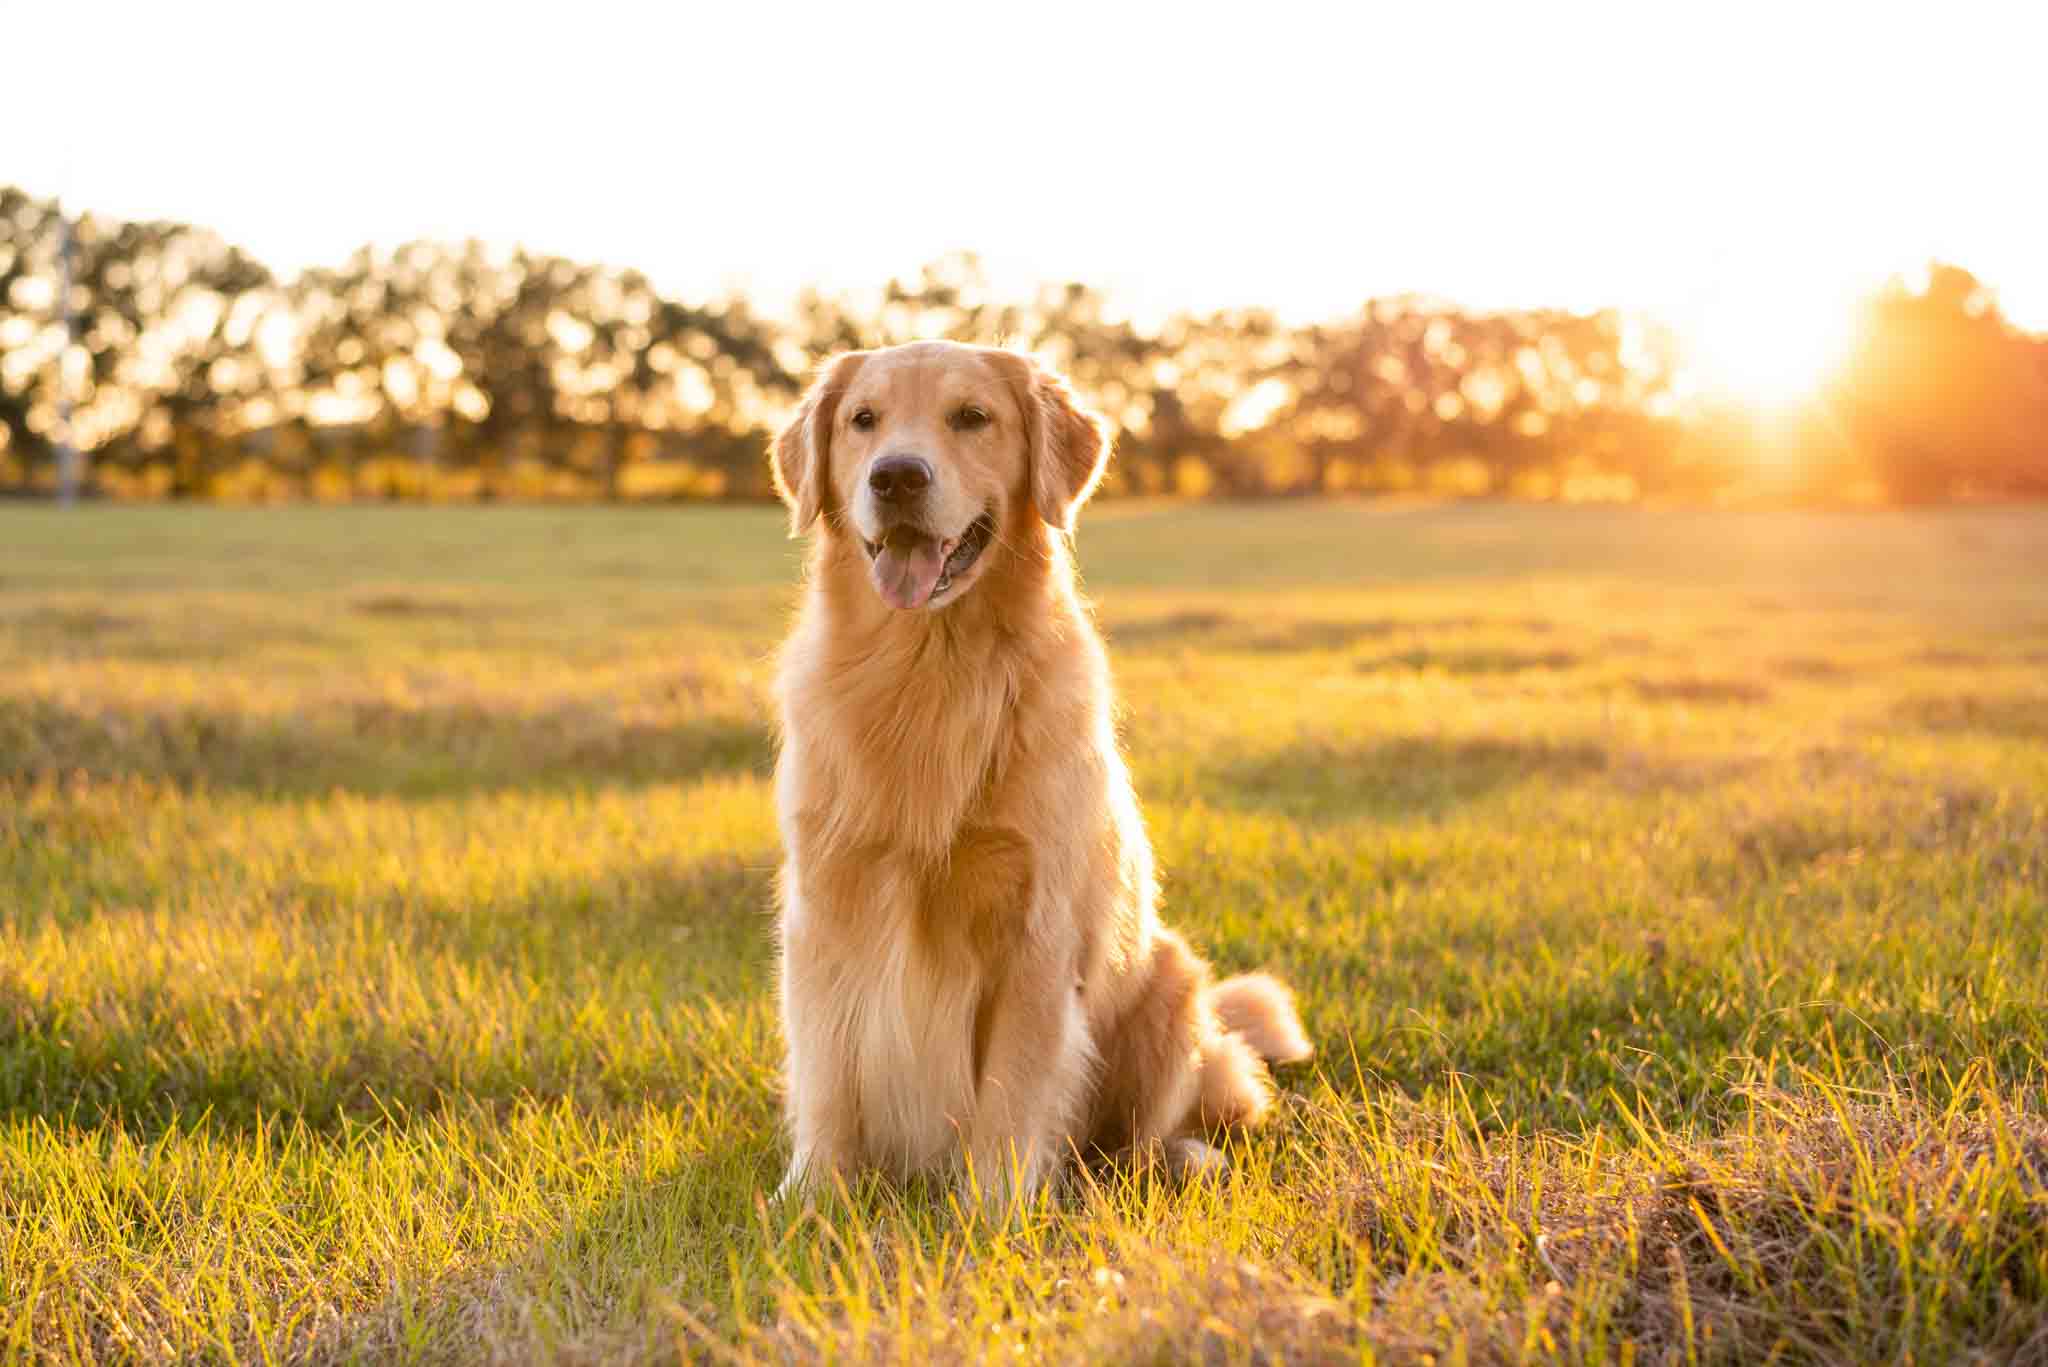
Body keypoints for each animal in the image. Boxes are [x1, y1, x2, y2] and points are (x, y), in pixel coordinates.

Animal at [770, 344, 1310, 1205]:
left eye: (972, 417)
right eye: (863, 420)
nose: (897, 477)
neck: (930, 671)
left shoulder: (1035, 932)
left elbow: (1013, 1090)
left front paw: (994, 1211)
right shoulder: (825, 909)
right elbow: (826, 1077)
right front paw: (813, 1197)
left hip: (1170, 982)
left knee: (1162, 1124)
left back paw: (1180, 1158)